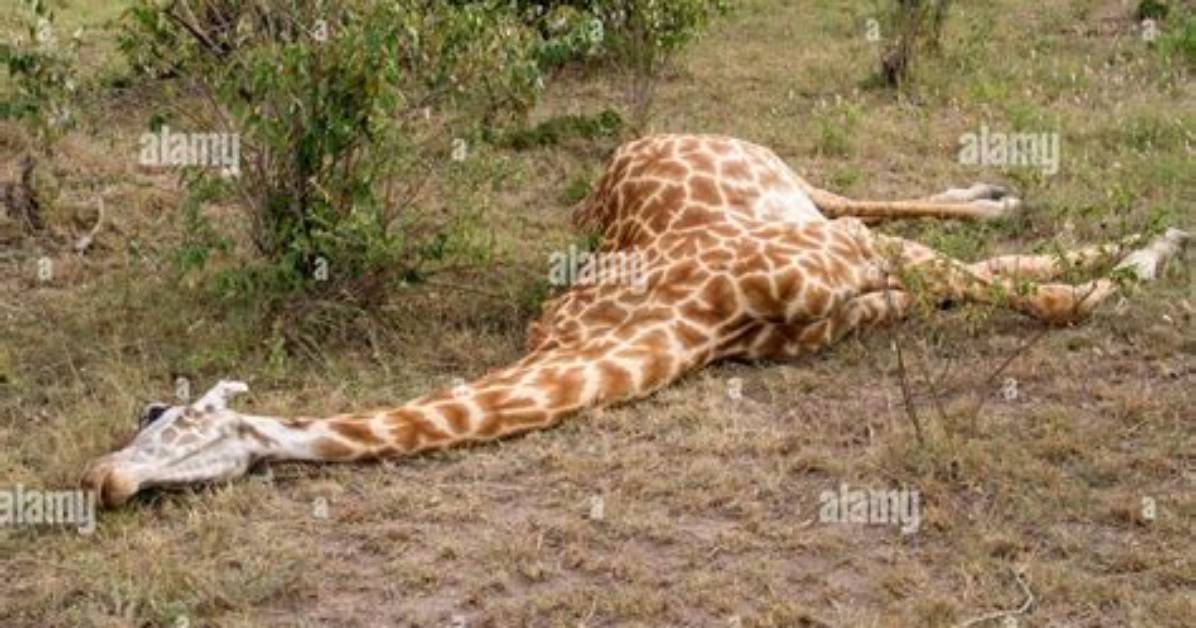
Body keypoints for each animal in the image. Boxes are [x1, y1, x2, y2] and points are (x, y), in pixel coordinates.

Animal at [82, 134, 1190, 507]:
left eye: (157, 416)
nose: (104, 483)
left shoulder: (840, 263)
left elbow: (1053, 294)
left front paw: (1161, 239)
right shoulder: (854, 297)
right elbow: (1019, 284)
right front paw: (1143, 241)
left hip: (792, 183)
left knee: (868, 199)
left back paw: (1013, 196)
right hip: (805, 205)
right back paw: (1001, 195)